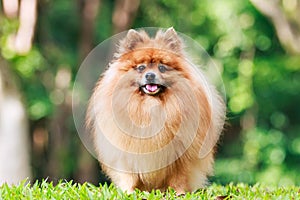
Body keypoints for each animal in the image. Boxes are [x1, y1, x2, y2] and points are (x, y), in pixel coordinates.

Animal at [86, 27, 225, 193]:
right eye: (141, 67)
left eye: (162, 68)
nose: (150, 75)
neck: (150, 107)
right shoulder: (125, 152)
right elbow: (129, 176)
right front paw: (128, 192)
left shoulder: (181, 154)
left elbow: (179, 177)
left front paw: (179, 192)